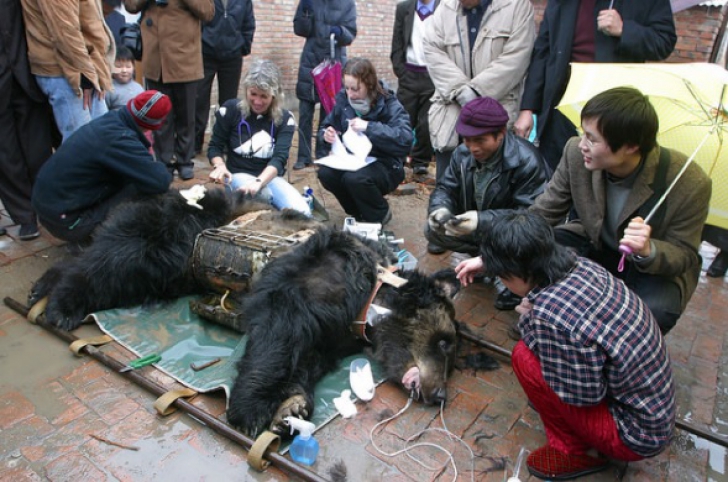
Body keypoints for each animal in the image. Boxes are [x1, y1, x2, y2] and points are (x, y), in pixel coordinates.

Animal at [226, 227, 460, 436]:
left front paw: (292, 406)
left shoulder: (335, 337)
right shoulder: (313, 282)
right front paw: (249, 409)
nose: (440, 394)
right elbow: (277, 332)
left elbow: (310, 359)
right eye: (443, 343)